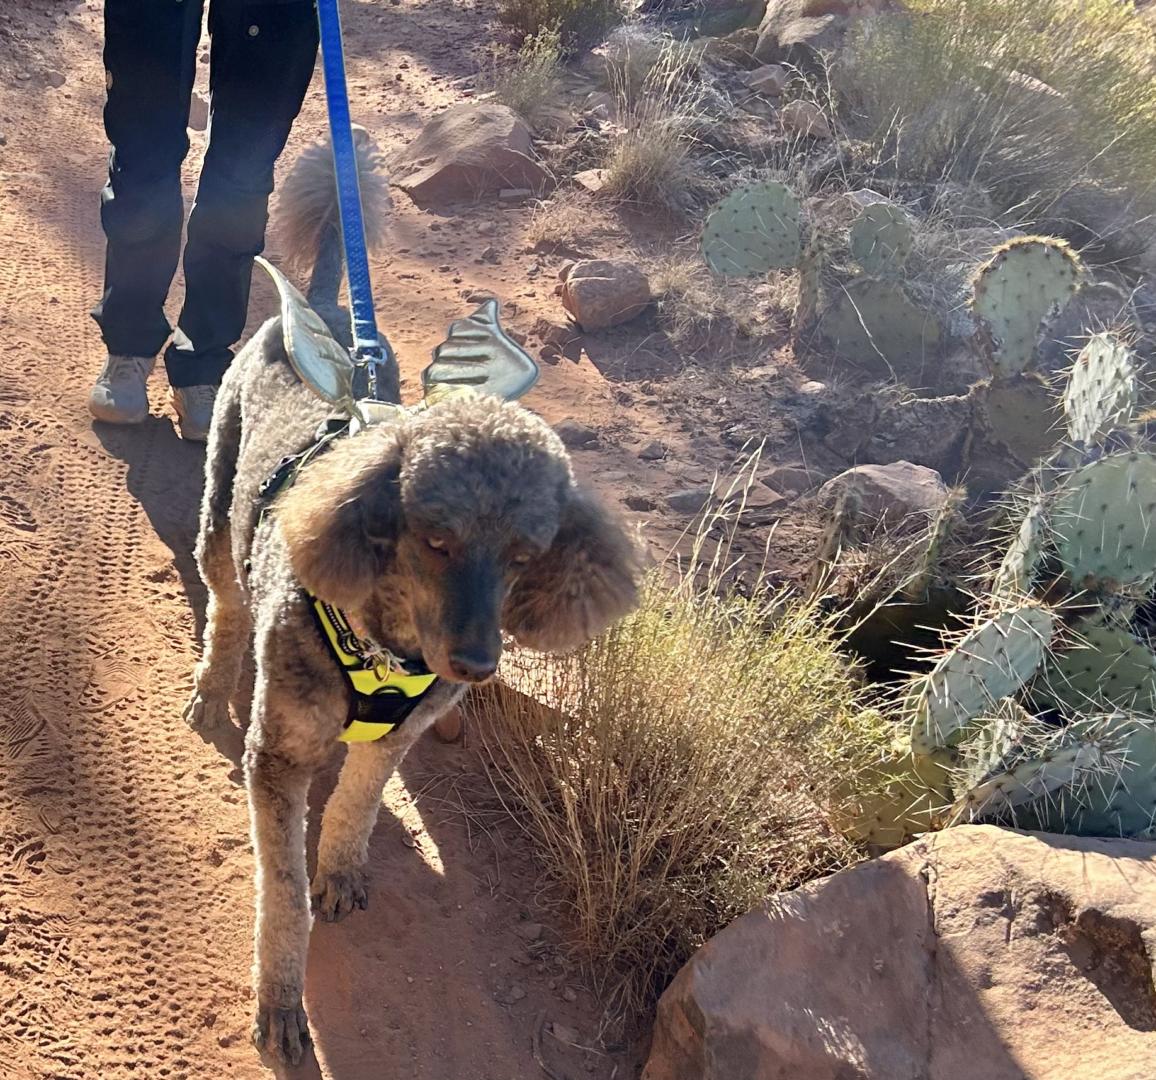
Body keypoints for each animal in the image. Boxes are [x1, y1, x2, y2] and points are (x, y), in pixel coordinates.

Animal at [184, 137, 647, 1063]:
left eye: (526, 553)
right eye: (435, 537)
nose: (476, 664)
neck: (385, 647)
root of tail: (328, 303)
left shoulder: (396, 736)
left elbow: (358, 807)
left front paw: (340, 871)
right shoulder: (277, 756)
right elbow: (281, 894)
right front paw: (281, 1001)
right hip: (220, 509)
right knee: (224, 604)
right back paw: (214, 682)